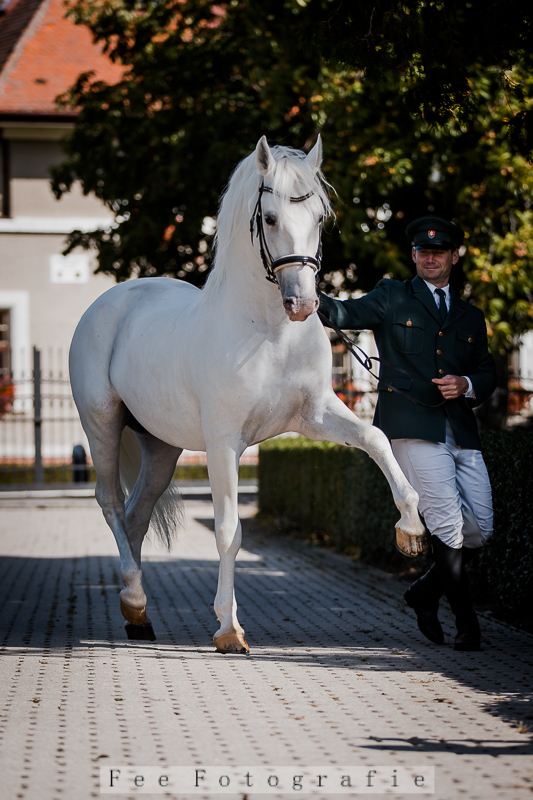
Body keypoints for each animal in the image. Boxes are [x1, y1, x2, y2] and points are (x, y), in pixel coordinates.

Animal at [69, 136, 426, 653]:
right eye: (271, 218)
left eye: (320, 217)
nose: (303, 303)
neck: (270, 332)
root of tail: (107, 303)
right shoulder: (224, 445)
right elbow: (228, 532)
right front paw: (228, 628)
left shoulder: (315, 416)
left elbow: (376, 439)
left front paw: (411, 529)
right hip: (102, 423)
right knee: (112, 502)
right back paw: (134, 599)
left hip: (162, 447)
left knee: (136, 514)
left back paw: (138, 616)